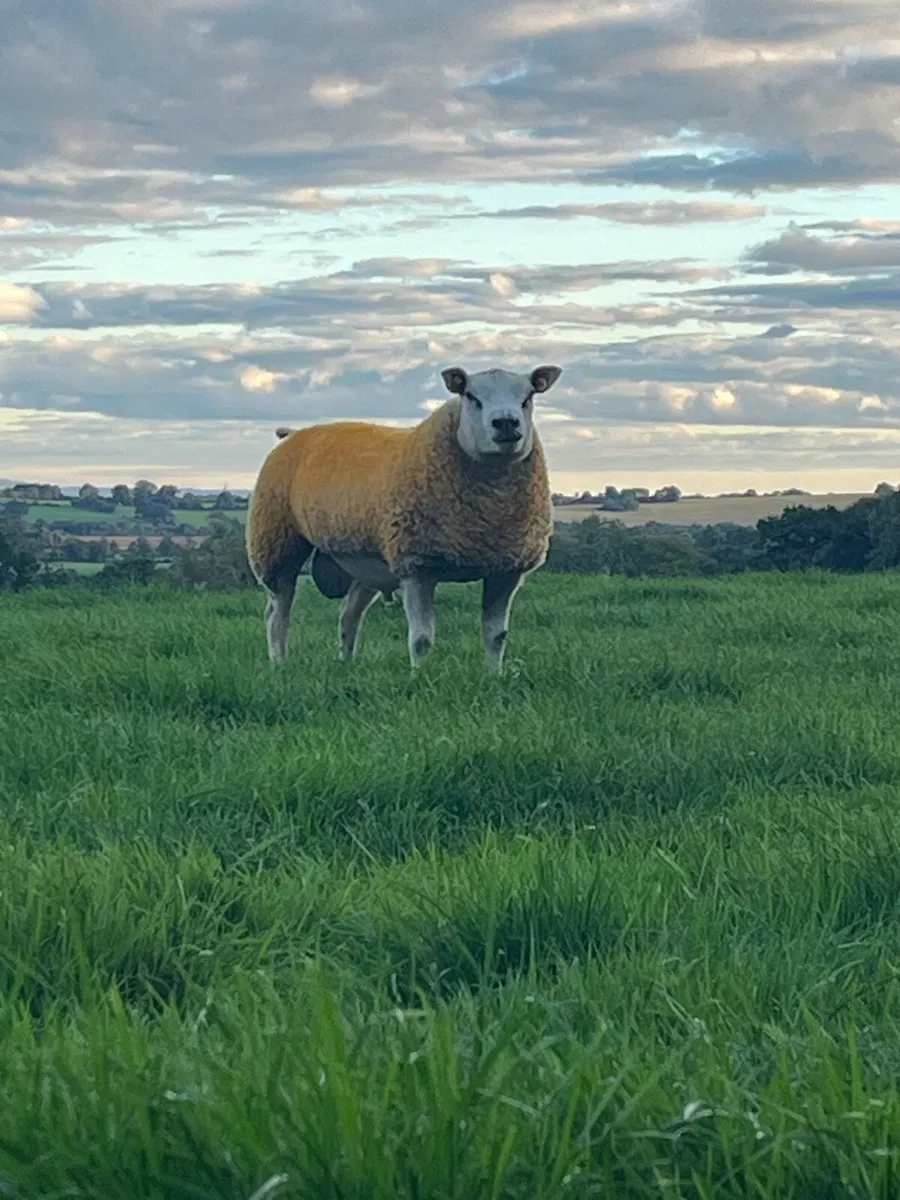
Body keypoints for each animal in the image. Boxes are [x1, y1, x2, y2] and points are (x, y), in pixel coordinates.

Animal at [246, 364, 562, 670]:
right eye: (471, 396)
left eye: (528, 397)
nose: (506, 422)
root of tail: (294, 432)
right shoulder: (417, 566)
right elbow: (421, 639)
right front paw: (419, 677)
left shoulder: (505, 569)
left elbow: (496, 636)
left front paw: (494, 676)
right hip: (276, 542)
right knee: (277, 612)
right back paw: (279, 662)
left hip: (365, 562)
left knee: (349, 613)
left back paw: (346, 663)